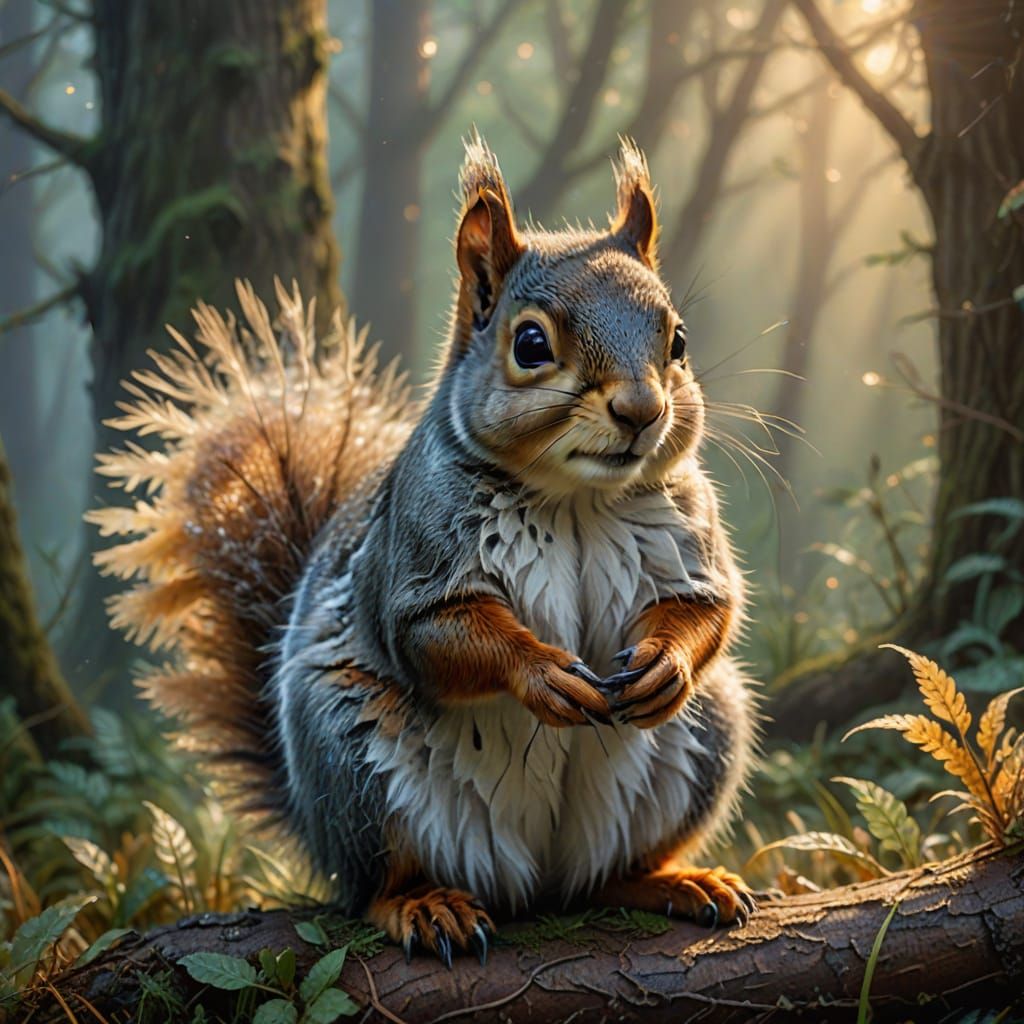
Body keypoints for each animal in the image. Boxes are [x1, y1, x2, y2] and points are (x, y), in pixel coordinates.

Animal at [89, 133, 757, 967]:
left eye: (679, 340)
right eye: (530, 343)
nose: (642, 410)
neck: (575, 498)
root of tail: (535, 878)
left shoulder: (690, 537)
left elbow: (706, 608)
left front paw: (666, 665)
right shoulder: (419, 559)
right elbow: (440, 635)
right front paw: (541, 673)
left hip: (709, 732)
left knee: (611, 872)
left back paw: (672, 880)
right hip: (352, 761)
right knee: (376, 881)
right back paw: (423, 904)